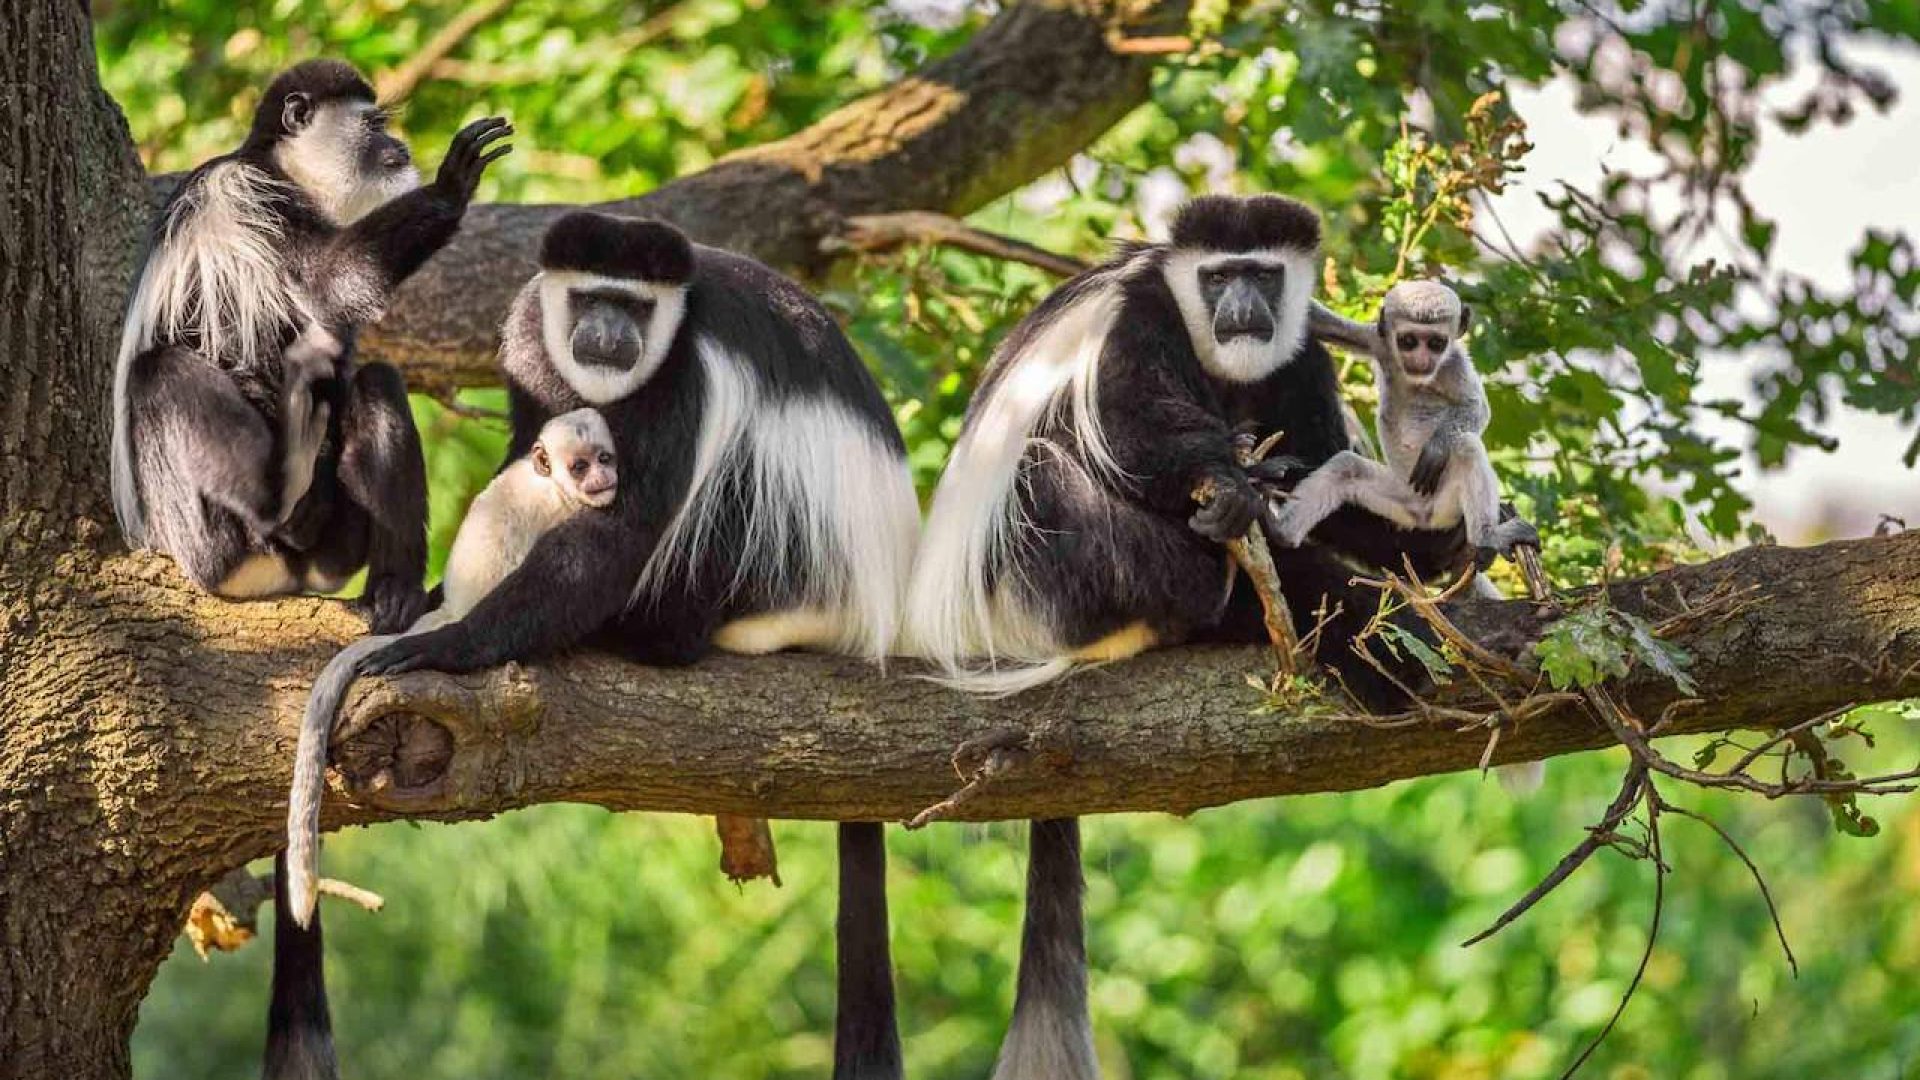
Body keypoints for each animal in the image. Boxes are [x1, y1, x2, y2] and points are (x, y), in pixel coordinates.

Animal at [110, 59, 511, 634]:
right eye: (374, 124)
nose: (400, 146)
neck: (281, 168)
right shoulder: (251, 196)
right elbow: (331, 278)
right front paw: (451, 184)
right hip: (198, 531)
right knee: (161, 372)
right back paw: (281, 509)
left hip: (336, 546)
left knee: (376, 382)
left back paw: (393, 592)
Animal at [284, 408, 619, 930]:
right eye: (580, 466)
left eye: (604, 458)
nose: (602, 478)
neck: (550, 484)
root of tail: (454, 610)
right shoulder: (559, 511)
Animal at [343, 211, 920, 1080]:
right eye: (591, 298)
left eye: (637, 308)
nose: (610, 334)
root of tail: (873, 609)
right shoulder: (529, 339)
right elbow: (527, 454)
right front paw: (437, 597)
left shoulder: (687, 381)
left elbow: (625, 527)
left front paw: (454, 642)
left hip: (787, 564)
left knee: (731, 485)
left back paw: (653, 634)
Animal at [903, 194, 1479, 1079]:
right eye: (1216, 277)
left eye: (1263, 275)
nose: (1240, 310)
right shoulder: (1138, 321)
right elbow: (1131, 428)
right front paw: (1234, 488)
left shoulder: (1300, 354)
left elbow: (1321, 460)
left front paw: (1415, 539)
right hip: (1040, 579)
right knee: (1049, 470)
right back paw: (1225, 583)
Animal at [1279, 282, 1539, 566]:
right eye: (1408, 341)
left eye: (1436, 343)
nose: (1421, 360)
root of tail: (1424, 516)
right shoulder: (1378, 341)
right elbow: (1319, 321)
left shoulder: (1455, 364)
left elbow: (1476, 408)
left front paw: (1437, 447)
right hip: (1400, 501)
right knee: (1346, 468)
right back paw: (1281, 531)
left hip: (1444, 504)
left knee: (1466, 446)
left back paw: (1487, 537)